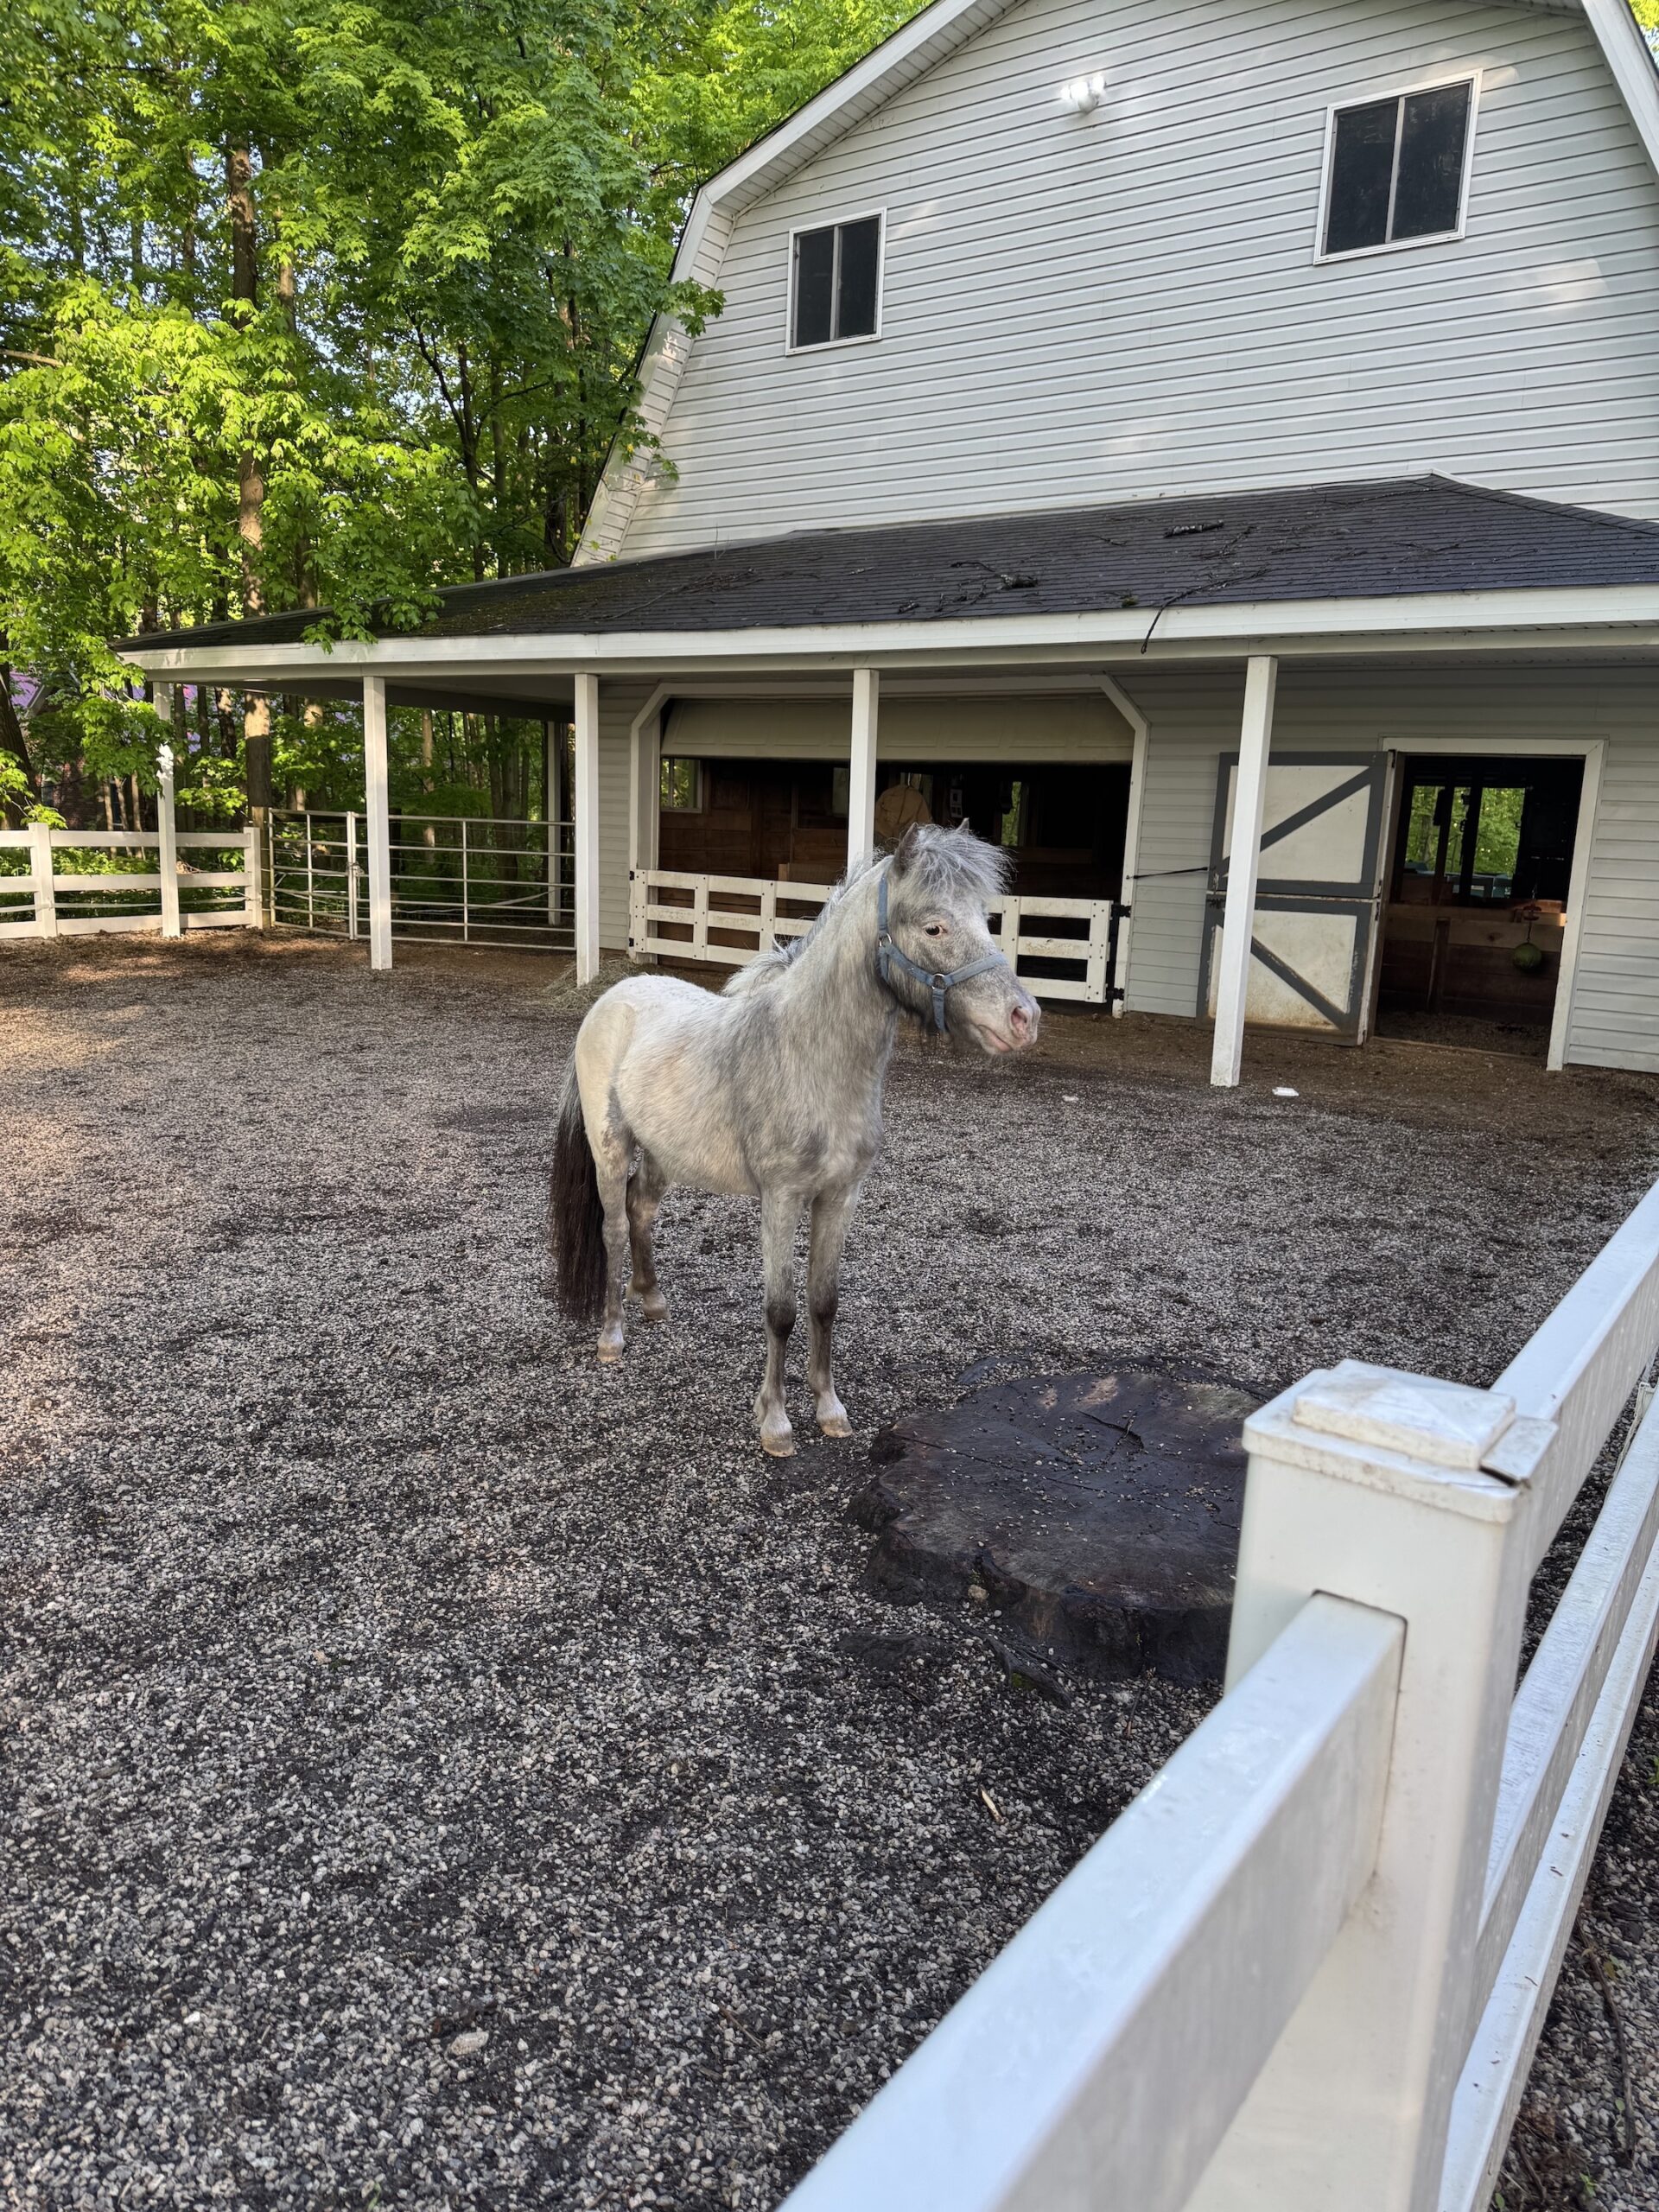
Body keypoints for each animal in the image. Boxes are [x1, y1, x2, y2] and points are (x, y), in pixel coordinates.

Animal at [548, 822, 1041, 1456]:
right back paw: (612, 1337)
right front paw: (775, 1422)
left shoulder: (840, 1198)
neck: (810, 1058)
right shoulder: (780, 1199)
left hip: (664, 1157)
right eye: (935, 926)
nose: (1023, 1018)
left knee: (640, 1212)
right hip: (611, 1149)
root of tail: (613, 998)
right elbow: (780, 1310)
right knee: (611, 1228)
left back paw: (652, 1301)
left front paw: (829, 1409)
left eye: (985, 917)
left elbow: (824, 1303)